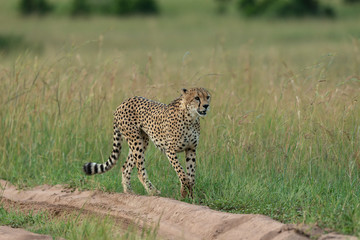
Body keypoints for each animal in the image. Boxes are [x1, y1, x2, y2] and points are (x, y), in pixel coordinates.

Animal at [82, 87, 211, 198]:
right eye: (197, 98)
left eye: (208, 97)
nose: (206, 106)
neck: (191, 118)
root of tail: (123, 103)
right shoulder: (170, 150)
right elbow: (182, 173)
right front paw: (184, 192)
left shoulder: (191, 149)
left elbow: (191, 174)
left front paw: (191, 195)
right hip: (135, 141)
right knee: (139, 170)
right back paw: (152, 191)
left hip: (142, 141)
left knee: (126, 167)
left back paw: (129, 191)